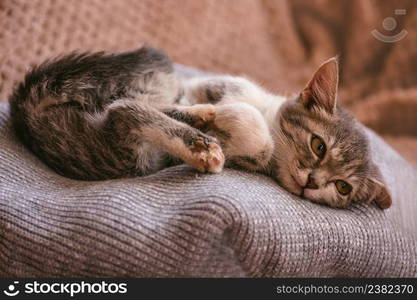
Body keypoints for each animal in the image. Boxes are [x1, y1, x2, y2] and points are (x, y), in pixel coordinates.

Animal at [8, 47, 392, 210]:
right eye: (318, 145)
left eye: (342, 187)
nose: (312, 183)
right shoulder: (218, 83)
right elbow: (240, 110)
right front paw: (219, 113)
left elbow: (256, 142)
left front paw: (223, 122)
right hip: (154, 71)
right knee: (126, 106)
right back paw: (200, 127)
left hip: (132, 154)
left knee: (123, 112)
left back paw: (200, 143)